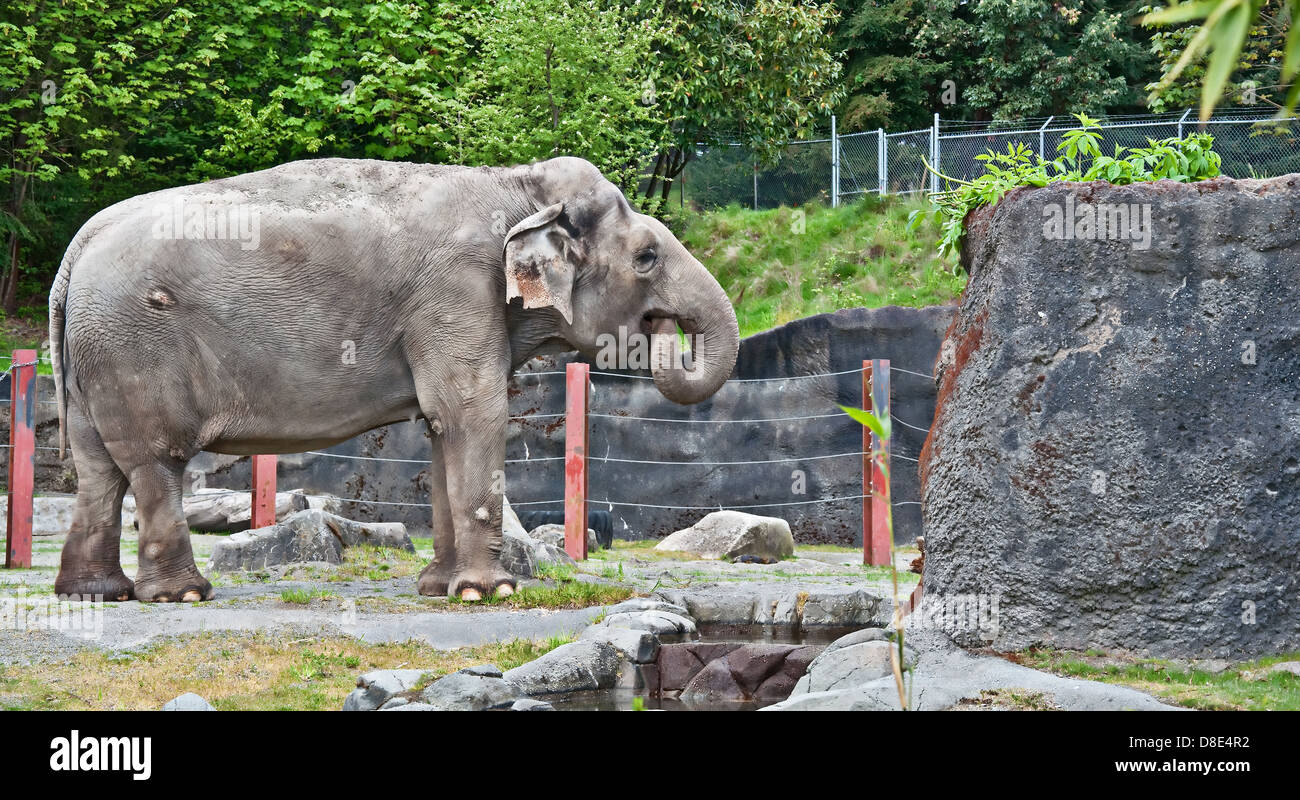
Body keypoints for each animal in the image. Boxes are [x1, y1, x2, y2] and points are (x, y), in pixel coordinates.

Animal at [50, 156, 738, 600]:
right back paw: (182, 595)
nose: (663, 329)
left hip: (92, 360)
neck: (516, 183)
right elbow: (472, 411)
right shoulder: (457, 291)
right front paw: (488, 594)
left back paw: (93, 594)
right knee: (154, 461)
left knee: (98, 469)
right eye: (647, 257)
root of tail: (75, 250)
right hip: (134, 347)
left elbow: (440, 424)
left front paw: (440, 589)